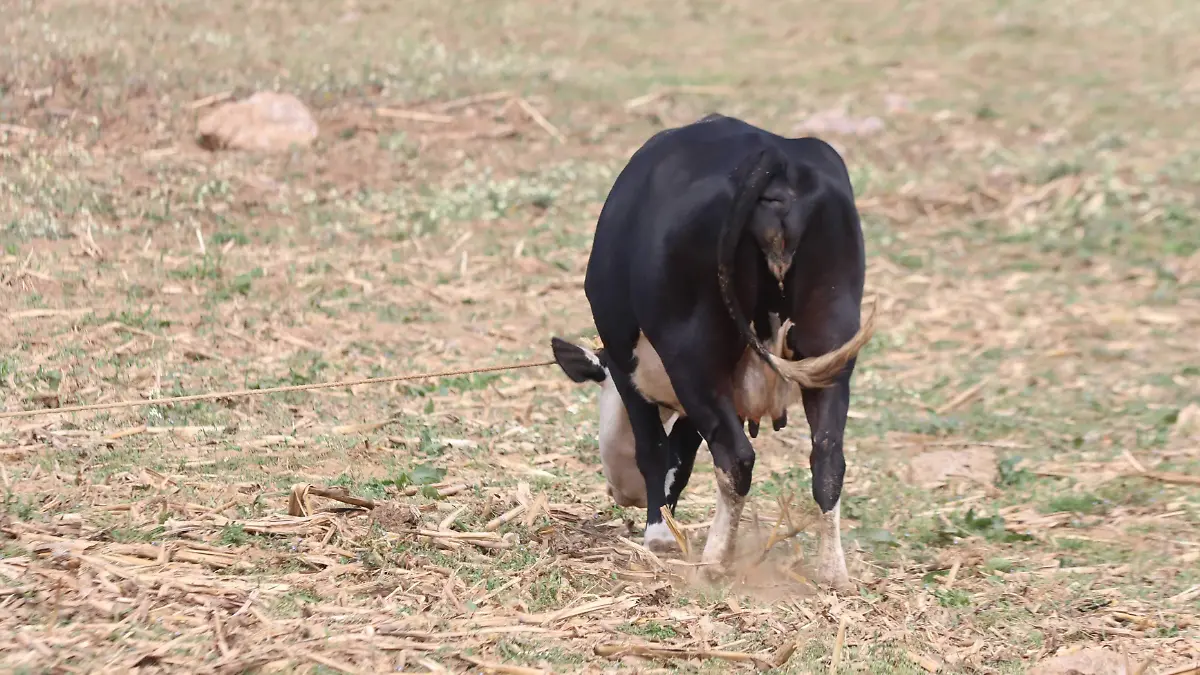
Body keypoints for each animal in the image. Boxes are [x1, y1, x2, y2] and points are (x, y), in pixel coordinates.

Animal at [553, 112, 877, 591]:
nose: (622, 493)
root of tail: (774, 157)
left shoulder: (632, 370)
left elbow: (656, 451)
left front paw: (660, 536)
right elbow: (683, 457)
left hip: (693, 355)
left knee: (736, 458)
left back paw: (713, 562)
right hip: (829, 347)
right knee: (827, 459)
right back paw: (833, 572)